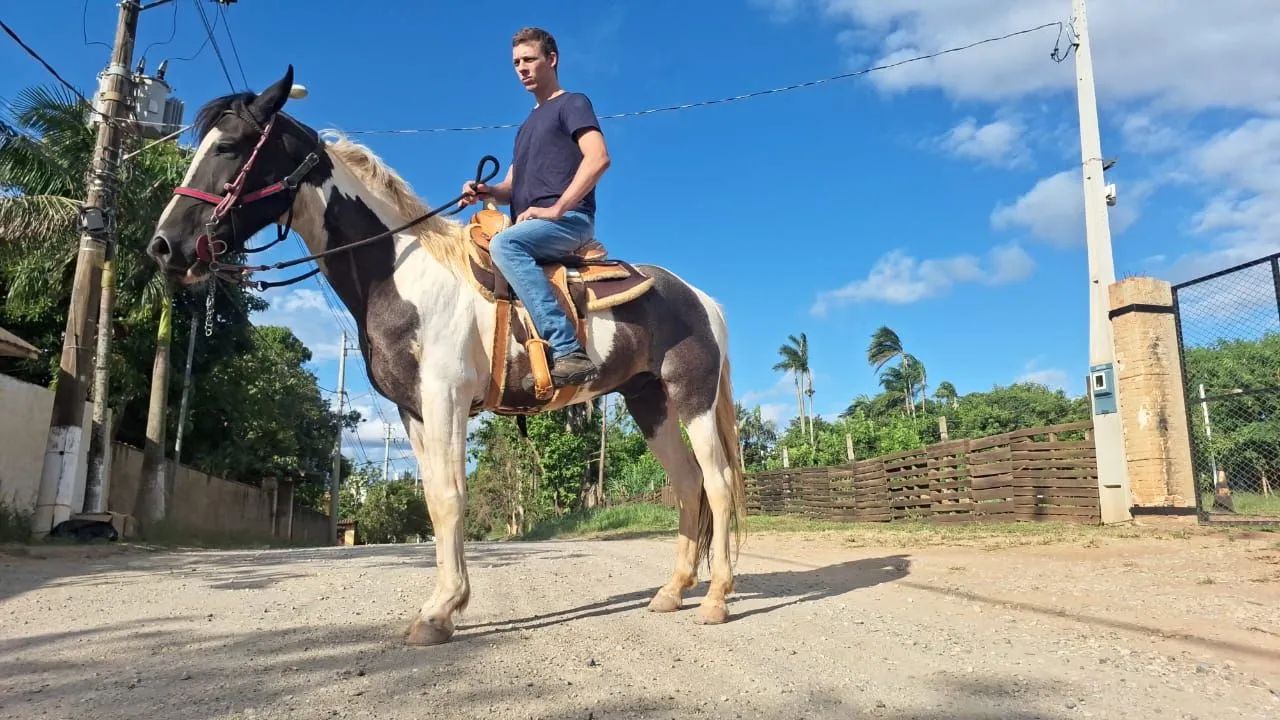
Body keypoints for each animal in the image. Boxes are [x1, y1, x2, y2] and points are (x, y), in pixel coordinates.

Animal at [147, 66, 746, 645]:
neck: (399, 271)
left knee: (716, 483)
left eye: (231, 146)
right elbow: (435, 500)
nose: (164, 246)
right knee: (688, 484)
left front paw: (440, 612)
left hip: (691, 397)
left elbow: (451, 497)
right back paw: (671, 591)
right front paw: (442, 607)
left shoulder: (446, 397)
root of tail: (702, 299)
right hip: (651, 404)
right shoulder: (414, 408)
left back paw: (715, 599)